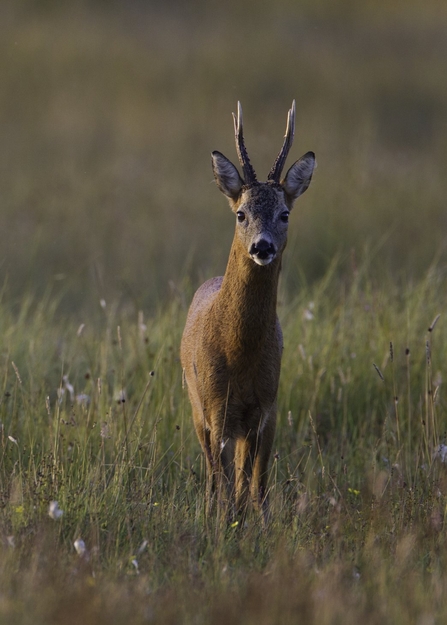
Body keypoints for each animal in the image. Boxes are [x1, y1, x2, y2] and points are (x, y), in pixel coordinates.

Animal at [181, 101, 316, 516]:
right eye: (241, 213)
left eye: (284, 214)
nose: (262, 246)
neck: (238, 352)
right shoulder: (216, 408)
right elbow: (225, 486)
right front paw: (222, 522)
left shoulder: (265, 409)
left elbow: (254, 487)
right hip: (196, 408)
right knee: (216, 478)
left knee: (248, 481)